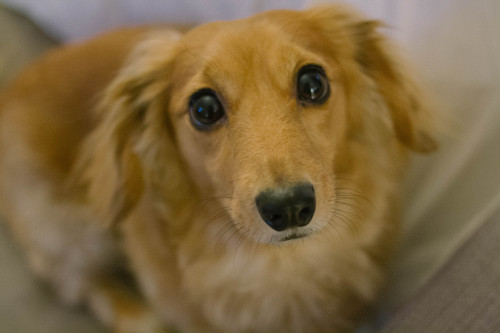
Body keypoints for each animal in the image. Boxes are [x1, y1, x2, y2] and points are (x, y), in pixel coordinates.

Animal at [0, 3, 438, 332]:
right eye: (204, 108)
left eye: (313, 83)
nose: (289, 207)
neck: (278, 265)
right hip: (61, 225)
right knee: (76, 279)